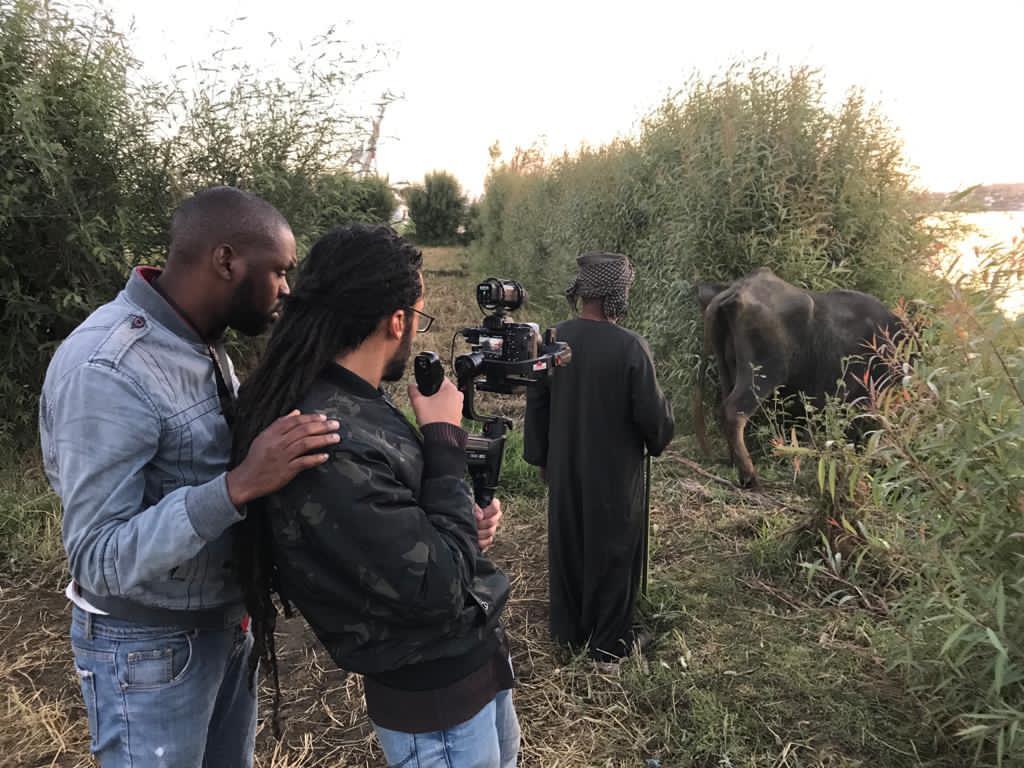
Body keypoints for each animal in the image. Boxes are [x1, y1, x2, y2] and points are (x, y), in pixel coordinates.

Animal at [696, 268, 905, 487]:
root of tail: (736, 291)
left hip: (727, 368)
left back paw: (733, 463)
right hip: (763, 374)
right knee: (734, 412)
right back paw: (749, 476)